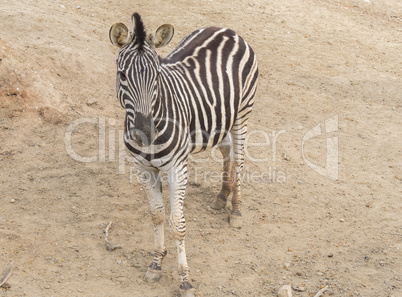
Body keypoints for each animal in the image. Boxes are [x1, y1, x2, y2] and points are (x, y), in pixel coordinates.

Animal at [108, 12, 258, 296]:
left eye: (157, 75)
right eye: (122, 75)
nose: (145, 131)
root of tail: (226, 29)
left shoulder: (177, 167)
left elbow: (177, 223)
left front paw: (185, 280)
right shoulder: (143, 168)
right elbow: (156, 215)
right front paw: (156, 263)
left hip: (243, 112)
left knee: (239, 158)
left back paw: (236, 209)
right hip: (220, 119)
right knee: (227, 151)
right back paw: (222, 196)